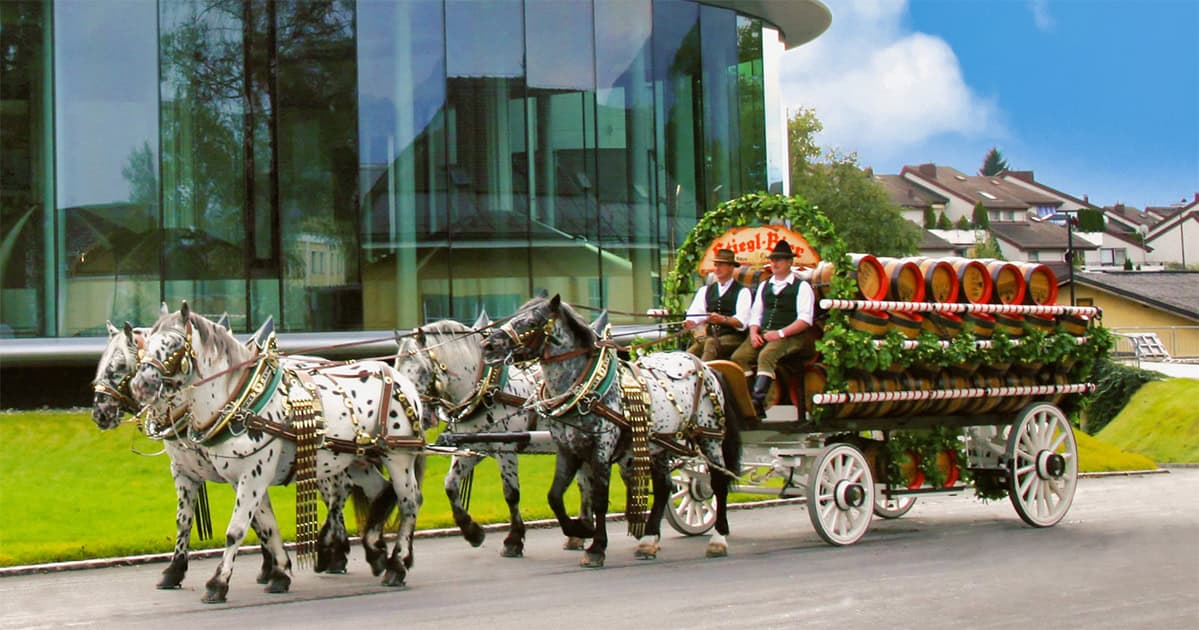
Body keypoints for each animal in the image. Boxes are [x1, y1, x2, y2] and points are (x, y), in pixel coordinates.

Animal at [126, 304, 424, 604]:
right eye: (144, 345)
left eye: (174, 344)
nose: (141, 385)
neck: (239, 401)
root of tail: (399, 377)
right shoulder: (209, 475)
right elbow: (261, 526)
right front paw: (279, 572)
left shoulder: (253, 474)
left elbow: (236, 530)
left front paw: (218, 583)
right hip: (354, 459)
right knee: (381, 491)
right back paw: (375, 552)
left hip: (397, 457)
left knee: (409, 503)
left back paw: (396, 565)